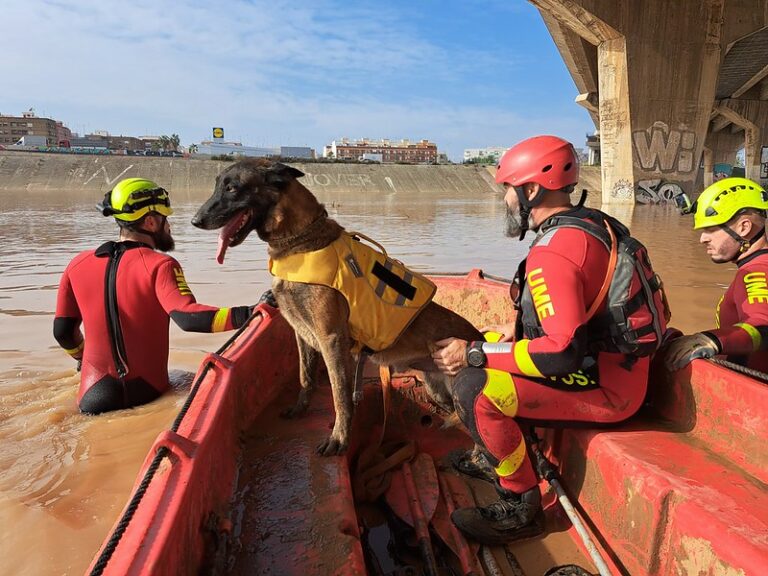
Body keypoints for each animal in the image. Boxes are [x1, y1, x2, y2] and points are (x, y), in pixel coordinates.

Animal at [192, 158, 480, 454]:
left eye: (232, 188)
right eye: (217, 185)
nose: (196, 220)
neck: (299, 241)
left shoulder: (330, 339)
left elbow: (339, 394)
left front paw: (339, 439)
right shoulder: (301, 332)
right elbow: (305, 376)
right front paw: (300, 408)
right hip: (436, 389)